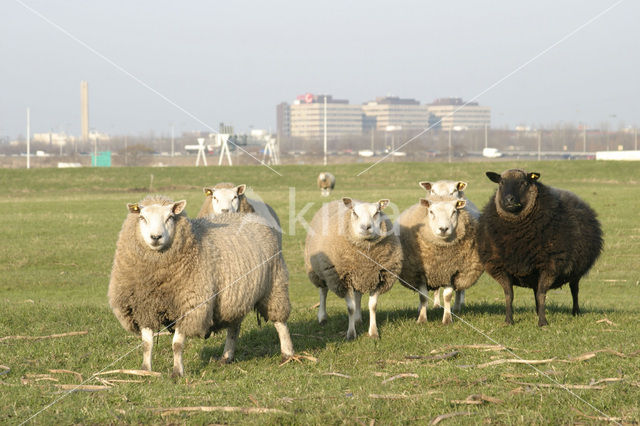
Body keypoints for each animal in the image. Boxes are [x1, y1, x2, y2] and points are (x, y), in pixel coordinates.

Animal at [108, 194, 296, 376]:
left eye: (170, 217)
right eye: (142, 217)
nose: (155, 237)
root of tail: (251, 217)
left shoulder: (190, 306)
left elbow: (177, 344)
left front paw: (177, 373)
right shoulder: (143, 307)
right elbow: (147, 344)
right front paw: (145, 371)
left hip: (274, 285)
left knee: (280, 323)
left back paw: (287, 354)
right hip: (235, 296)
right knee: (234, 328)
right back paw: (226, 357)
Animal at [304, 198, 400, 342]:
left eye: (377, 212)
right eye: (354, 212)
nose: (366, 227)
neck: (364, 258)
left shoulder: (379, 278)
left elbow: (373, 306)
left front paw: (373, 332)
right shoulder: (342, 280)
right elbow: (350, 308)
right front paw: (351, 334)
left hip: (358, 276)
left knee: (357, 295)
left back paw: (358, 319)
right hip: (320, 271)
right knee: (323, 292)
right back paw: (322, 317)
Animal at [398, 195, 482, 324]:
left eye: (454, 212)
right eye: (431, 211)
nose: (443, 229)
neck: (440, 258)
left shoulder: (451, 271)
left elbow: (447, 296)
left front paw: (447, 319)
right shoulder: (420, 273)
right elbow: (423, 296)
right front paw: (422, 319)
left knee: (459, 290)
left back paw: (456, 308)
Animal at [478, 170, 604, 326]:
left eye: (524, 183)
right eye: (501, 182)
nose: (509, 200)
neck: (517, 237)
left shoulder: (550, 265)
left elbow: (542, 294)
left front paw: (542, 322)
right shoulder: (500, 267)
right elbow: (509, 295)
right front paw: (509, 320)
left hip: (576, 271)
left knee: (574, 290)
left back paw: (575, 312)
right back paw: (538, 311)